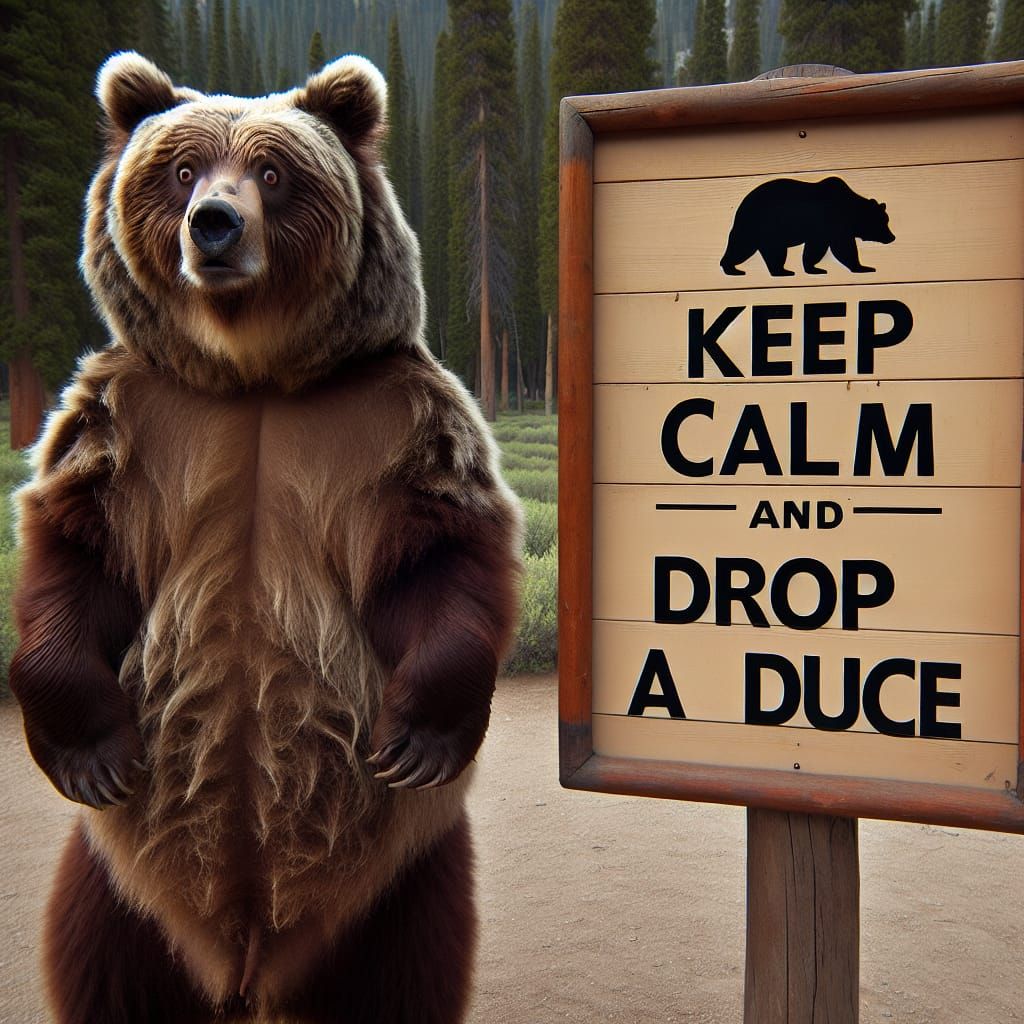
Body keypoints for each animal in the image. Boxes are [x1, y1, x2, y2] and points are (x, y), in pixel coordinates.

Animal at [9, 51, 521, 1024]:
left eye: (274, 173)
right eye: (180, 170)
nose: (214, 224)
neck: (251, 372)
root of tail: (247, 961)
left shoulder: (391, 427)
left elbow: (439, 555)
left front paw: (420, 734)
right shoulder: (132, 426)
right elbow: (76, 555)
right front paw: (90, 755)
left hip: (393, 888)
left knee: (402, 972)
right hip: (121, 886)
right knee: (106, 961)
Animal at [719, 176, 895, 277]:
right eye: (883, 221)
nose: (892, 237)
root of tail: (742, 204)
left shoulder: (821, 232)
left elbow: (815, 249)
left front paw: (815, 268)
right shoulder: (833, 224)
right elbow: (843, 247)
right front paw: (862, 267)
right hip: (762, 224)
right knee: (748, 246)